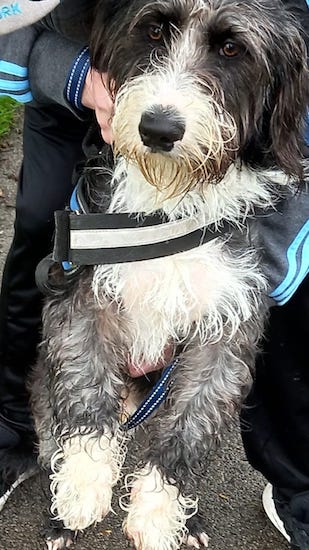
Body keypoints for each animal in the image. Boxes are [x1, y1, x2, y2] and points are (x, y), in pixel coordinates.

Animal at [30, 1, 308, 550]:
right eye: (155, 30)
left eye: (231, 49)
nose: (158, 129)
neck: (174, 201)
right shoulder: (82, 299)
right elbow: (84, 394)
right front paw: (83, 488)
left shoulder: (227, 327)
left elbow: (191, 429)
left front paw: (158, 513)